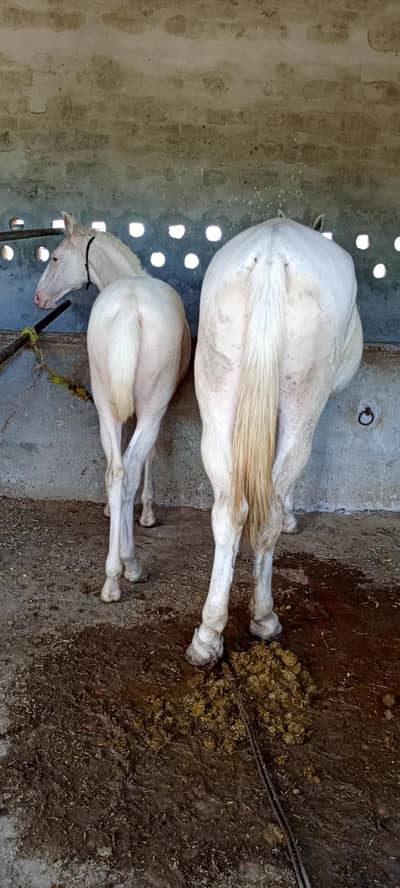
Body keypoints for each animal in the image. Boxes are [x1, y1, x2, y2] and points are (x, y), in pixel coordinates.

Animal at [34, 212, 191, 603]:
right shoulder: (156, 408)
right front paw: (146, 513)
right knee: (130, 469)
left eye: (55, 257)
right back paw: (130, 566)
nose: (39, 297)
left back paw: (111, 577)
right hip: (151, 407)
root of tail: (129, 313)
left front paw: (113, 510)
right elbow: (149, 457)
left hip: (105, 403)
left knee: (116, 472)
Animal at [186, 215, 363, 666]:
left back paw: (208, 636)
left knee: (228, 514)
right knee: (265, 516)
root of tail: (269, 257)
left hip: (216, 406)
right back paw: (264, 618)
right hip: (302, 407)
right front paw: (291, 517)